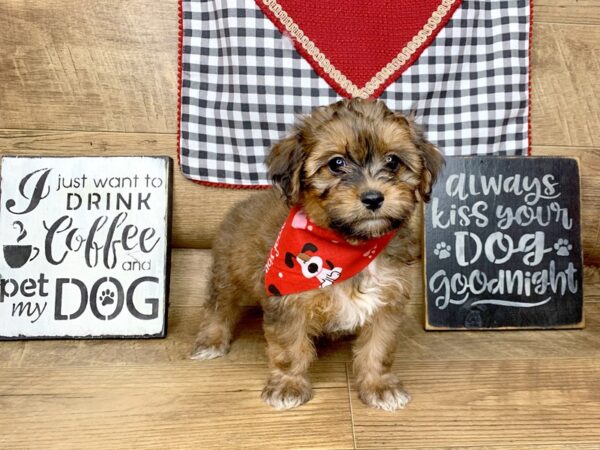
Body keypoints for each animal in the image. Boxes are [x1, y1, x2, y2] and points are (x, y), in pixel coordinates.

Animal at [190, 98, 442, 412]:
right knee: (219, 306)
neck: (348, 245)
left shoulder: (386, 300)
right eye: (336, 164)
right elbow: (289, 349)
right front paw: (288, 385)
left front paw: (379, 386)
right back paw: (211, 340)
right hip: (228, 270)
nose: (373, 198)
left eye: (393, 162)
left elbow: (378, 348)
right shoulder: (288, 302)